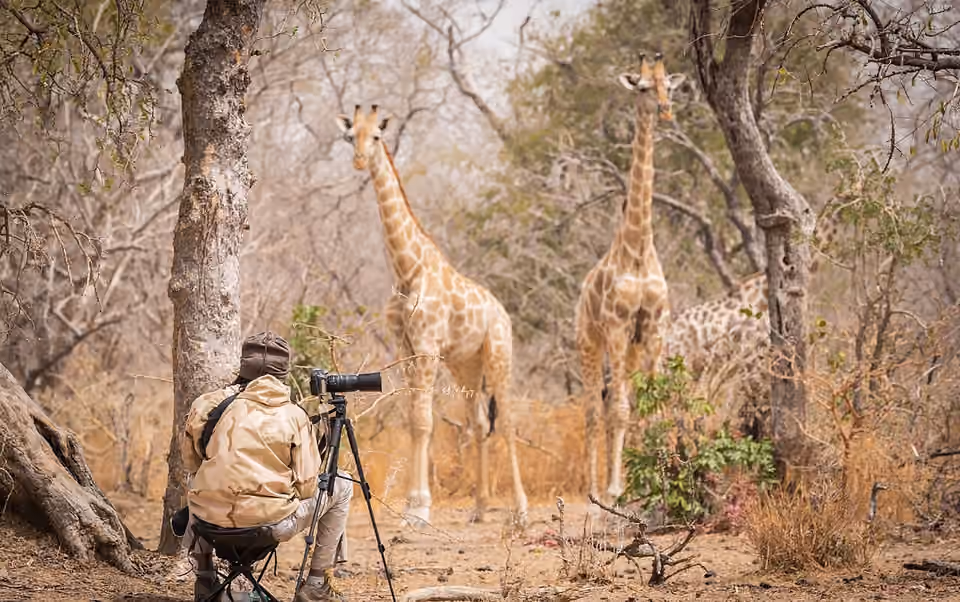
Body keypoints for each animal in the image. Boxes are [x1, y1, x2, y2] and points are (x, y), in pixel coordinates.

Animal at [334, 105, 528, 527]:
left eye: (377, 136)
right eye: (349, 135)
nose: (358, 160)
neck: (407, 269)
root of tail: (502, 312)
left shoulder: (425, 344)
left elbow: (424, 421)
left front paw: (419, 508)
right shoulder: (406, 347)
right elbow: (414, 419)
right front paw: (413, 505)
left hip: (498, 355)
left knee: (506, 421)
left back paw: (520, 510)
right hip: (466, 365)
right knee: (479, 422)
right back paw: (480, 507)